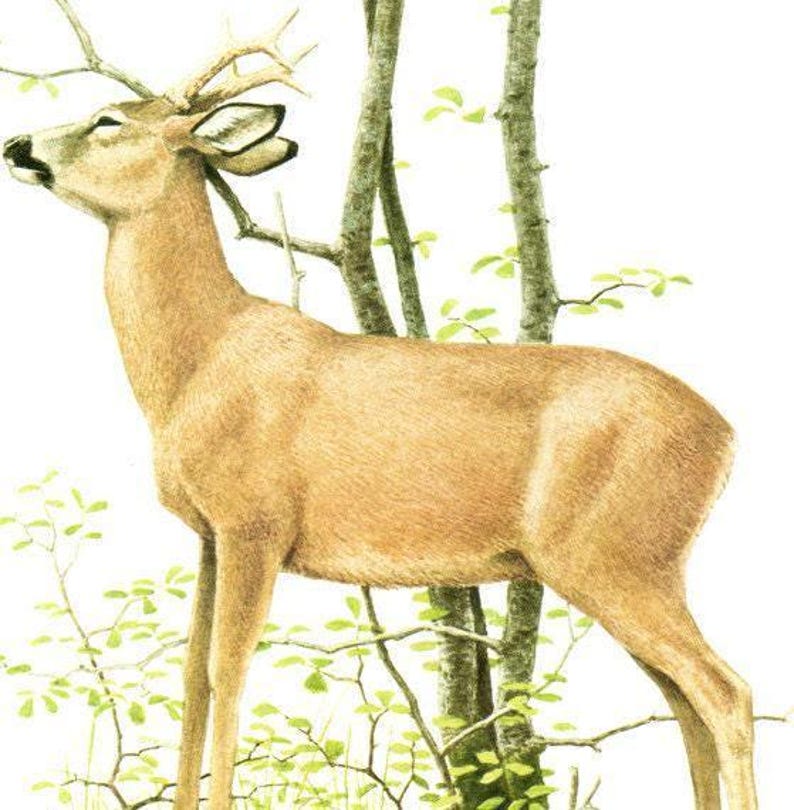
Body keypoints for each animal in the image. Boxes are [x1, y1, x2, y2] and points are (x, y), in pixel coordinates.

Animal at [2, 11, 756, 810]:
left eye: (106, 120)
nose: (17, 146)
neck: (198, 363)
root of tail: (726, 435)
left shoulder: (254, 521)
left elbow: (226, 673)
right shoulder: (207, 532)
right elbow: (191, 679)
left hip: (614, 553)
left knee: (725, 691)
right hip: (627, 561)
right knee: (683, 700)